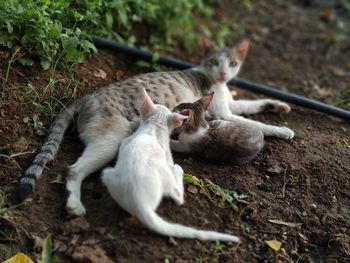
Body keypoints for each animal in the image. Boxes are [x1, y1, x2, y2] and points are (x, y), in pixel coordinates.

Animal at [17, 39, 296, 217]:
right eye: (215, 61)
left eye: (234, 64)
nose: (224, 73)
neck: (217, 83)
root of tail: (85, 97)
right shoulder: (224, 112)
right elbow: (255, 123)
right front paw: (283, 130)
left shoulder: (232, 105)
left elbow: (253, 104)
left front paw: (279, 106)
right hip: (111, 140)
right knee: (73, 169)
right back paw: (74, 206)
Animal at [100, 89, 239, 242]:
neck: (153, 127)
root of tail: (141, 203)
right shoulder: (166, 153)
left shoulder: (126, 141)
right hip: (164, 173)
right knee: (178, 196)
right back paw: (178, 170)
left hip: (107, 173)